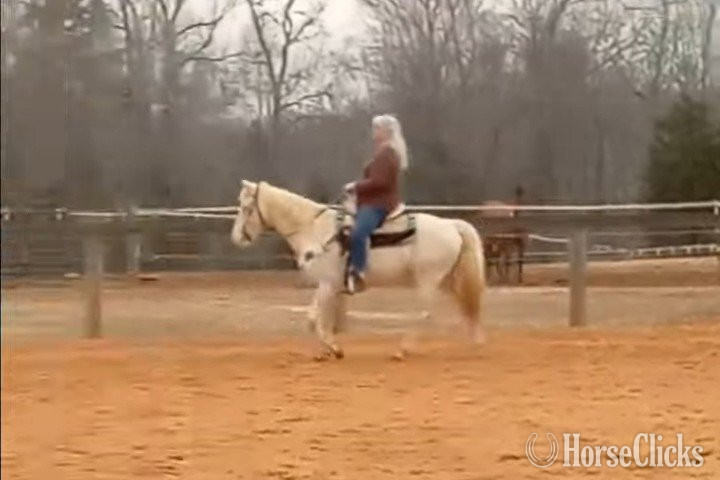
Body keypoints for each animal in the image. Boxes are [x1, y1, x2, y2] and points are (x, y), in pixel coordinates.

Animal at [231, 180, 486, 360]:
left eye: (246, 208)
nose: (236, 238)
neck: (316, 231)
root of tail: (451, 225)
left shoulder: (328, 285)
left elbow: (316, 320)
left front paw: (334, 349)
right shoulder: (328, 286)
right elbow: (314, 318)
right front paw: (325, 351)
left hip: (428, 281)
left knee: (427, 314)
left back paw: (402, 350)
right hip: (446, 280)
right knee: (465, 309)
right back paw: (473, 344)